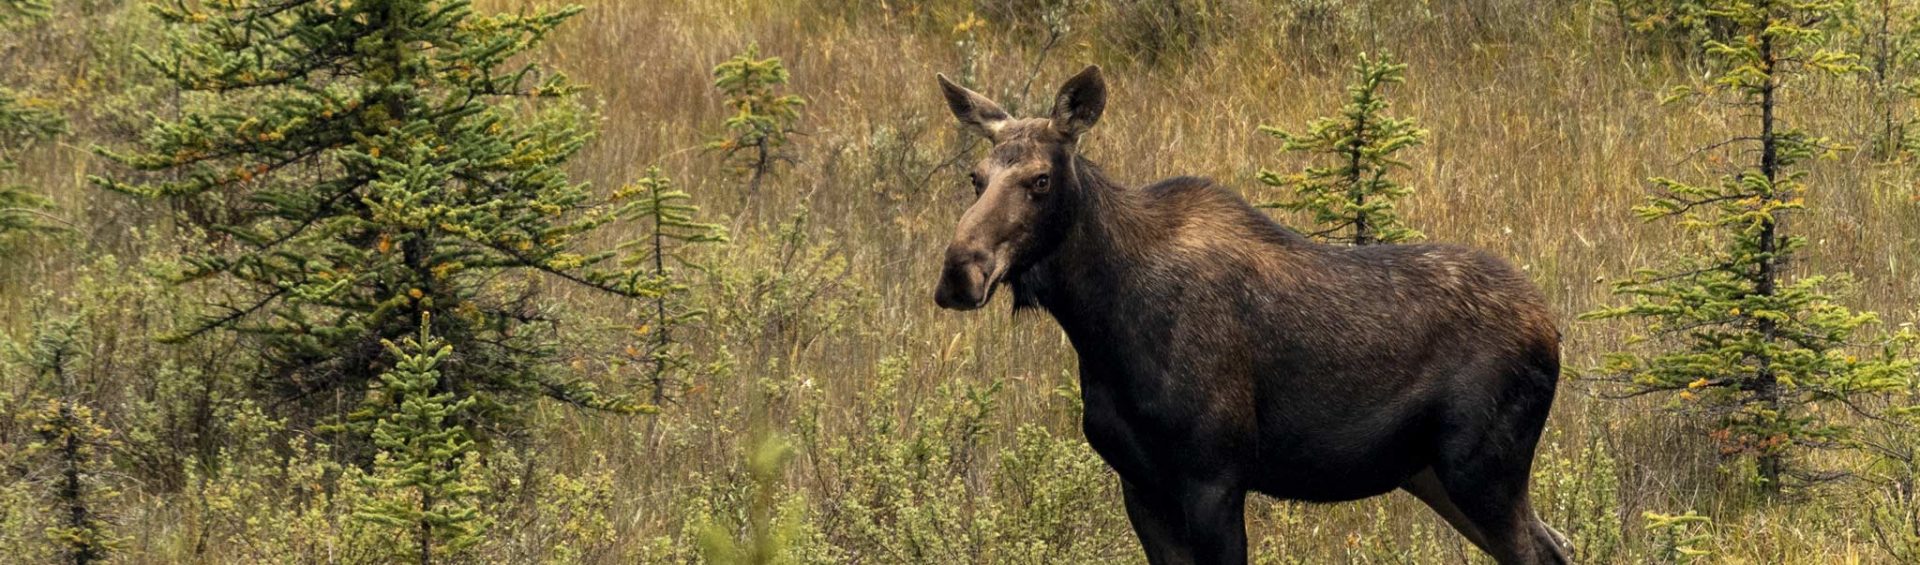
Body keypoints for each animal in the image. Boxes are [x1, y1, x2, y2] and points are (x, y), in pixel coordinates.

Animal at [933, 67, 1574, 565]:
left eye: (1040, 180)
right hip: (1433, 474)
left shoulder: (1214, 476)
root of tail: (1553, 327)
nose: (960, 273)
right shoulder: (1138, 485)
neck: (1100, 327)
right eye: (975, 178)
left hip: (1483, 468)